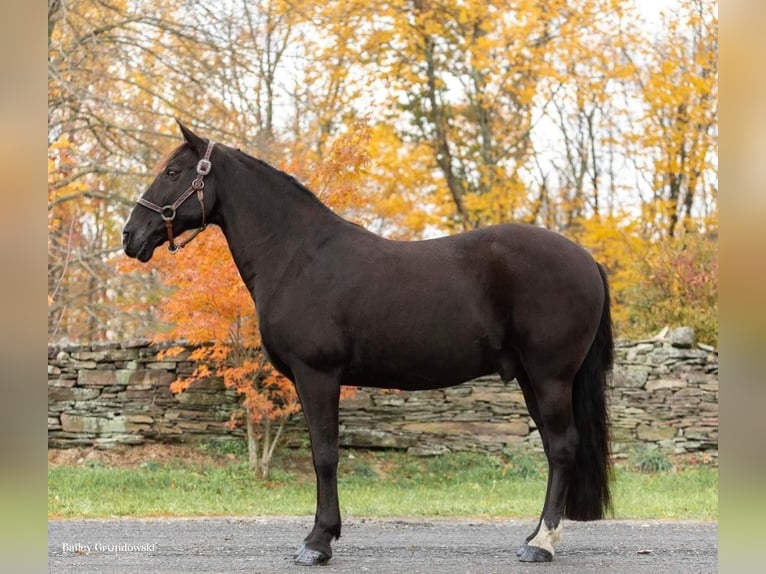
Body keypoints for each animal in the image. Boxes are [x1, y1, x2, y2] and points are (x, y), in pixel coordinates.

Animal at [123, 122, 616, 568]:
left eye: (173, 172)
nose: (131, 235)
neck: (298, 257)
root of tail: (587, 259)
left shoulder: (318, 375)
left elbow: (324, 455)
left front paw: (317, 543)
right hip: (533, 379)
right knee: (555, 449)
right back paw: (534, 536)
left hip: (550, 377)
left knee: (562, 447)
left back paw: (542, 544)